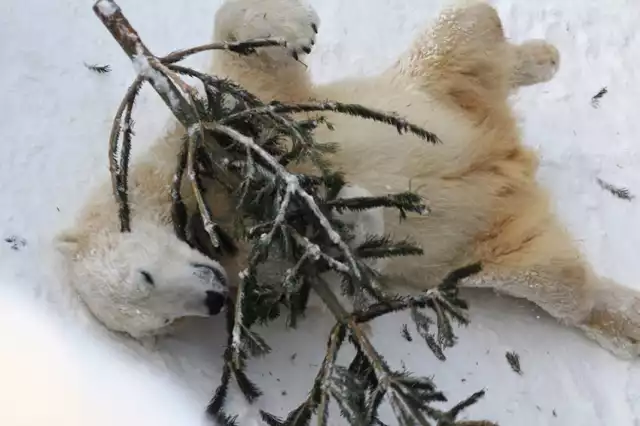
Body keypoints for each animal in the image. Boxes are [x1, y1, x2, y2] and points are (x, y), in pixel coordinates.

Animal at [55, 0, 640, 360]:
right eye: (155, 324)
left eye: (144, 280)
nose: (214, 299)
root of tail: (511, 156)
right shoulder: (266, 273)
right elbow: (335, 273)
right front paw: (343, 220)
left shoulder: (224, 127)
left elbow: (252, 69)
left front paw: (293, 25)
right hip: (484, 244)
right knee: (553, 280)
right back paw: (625, 321)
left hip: (430, 89)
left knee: (466, 28)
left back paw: (541, 57)